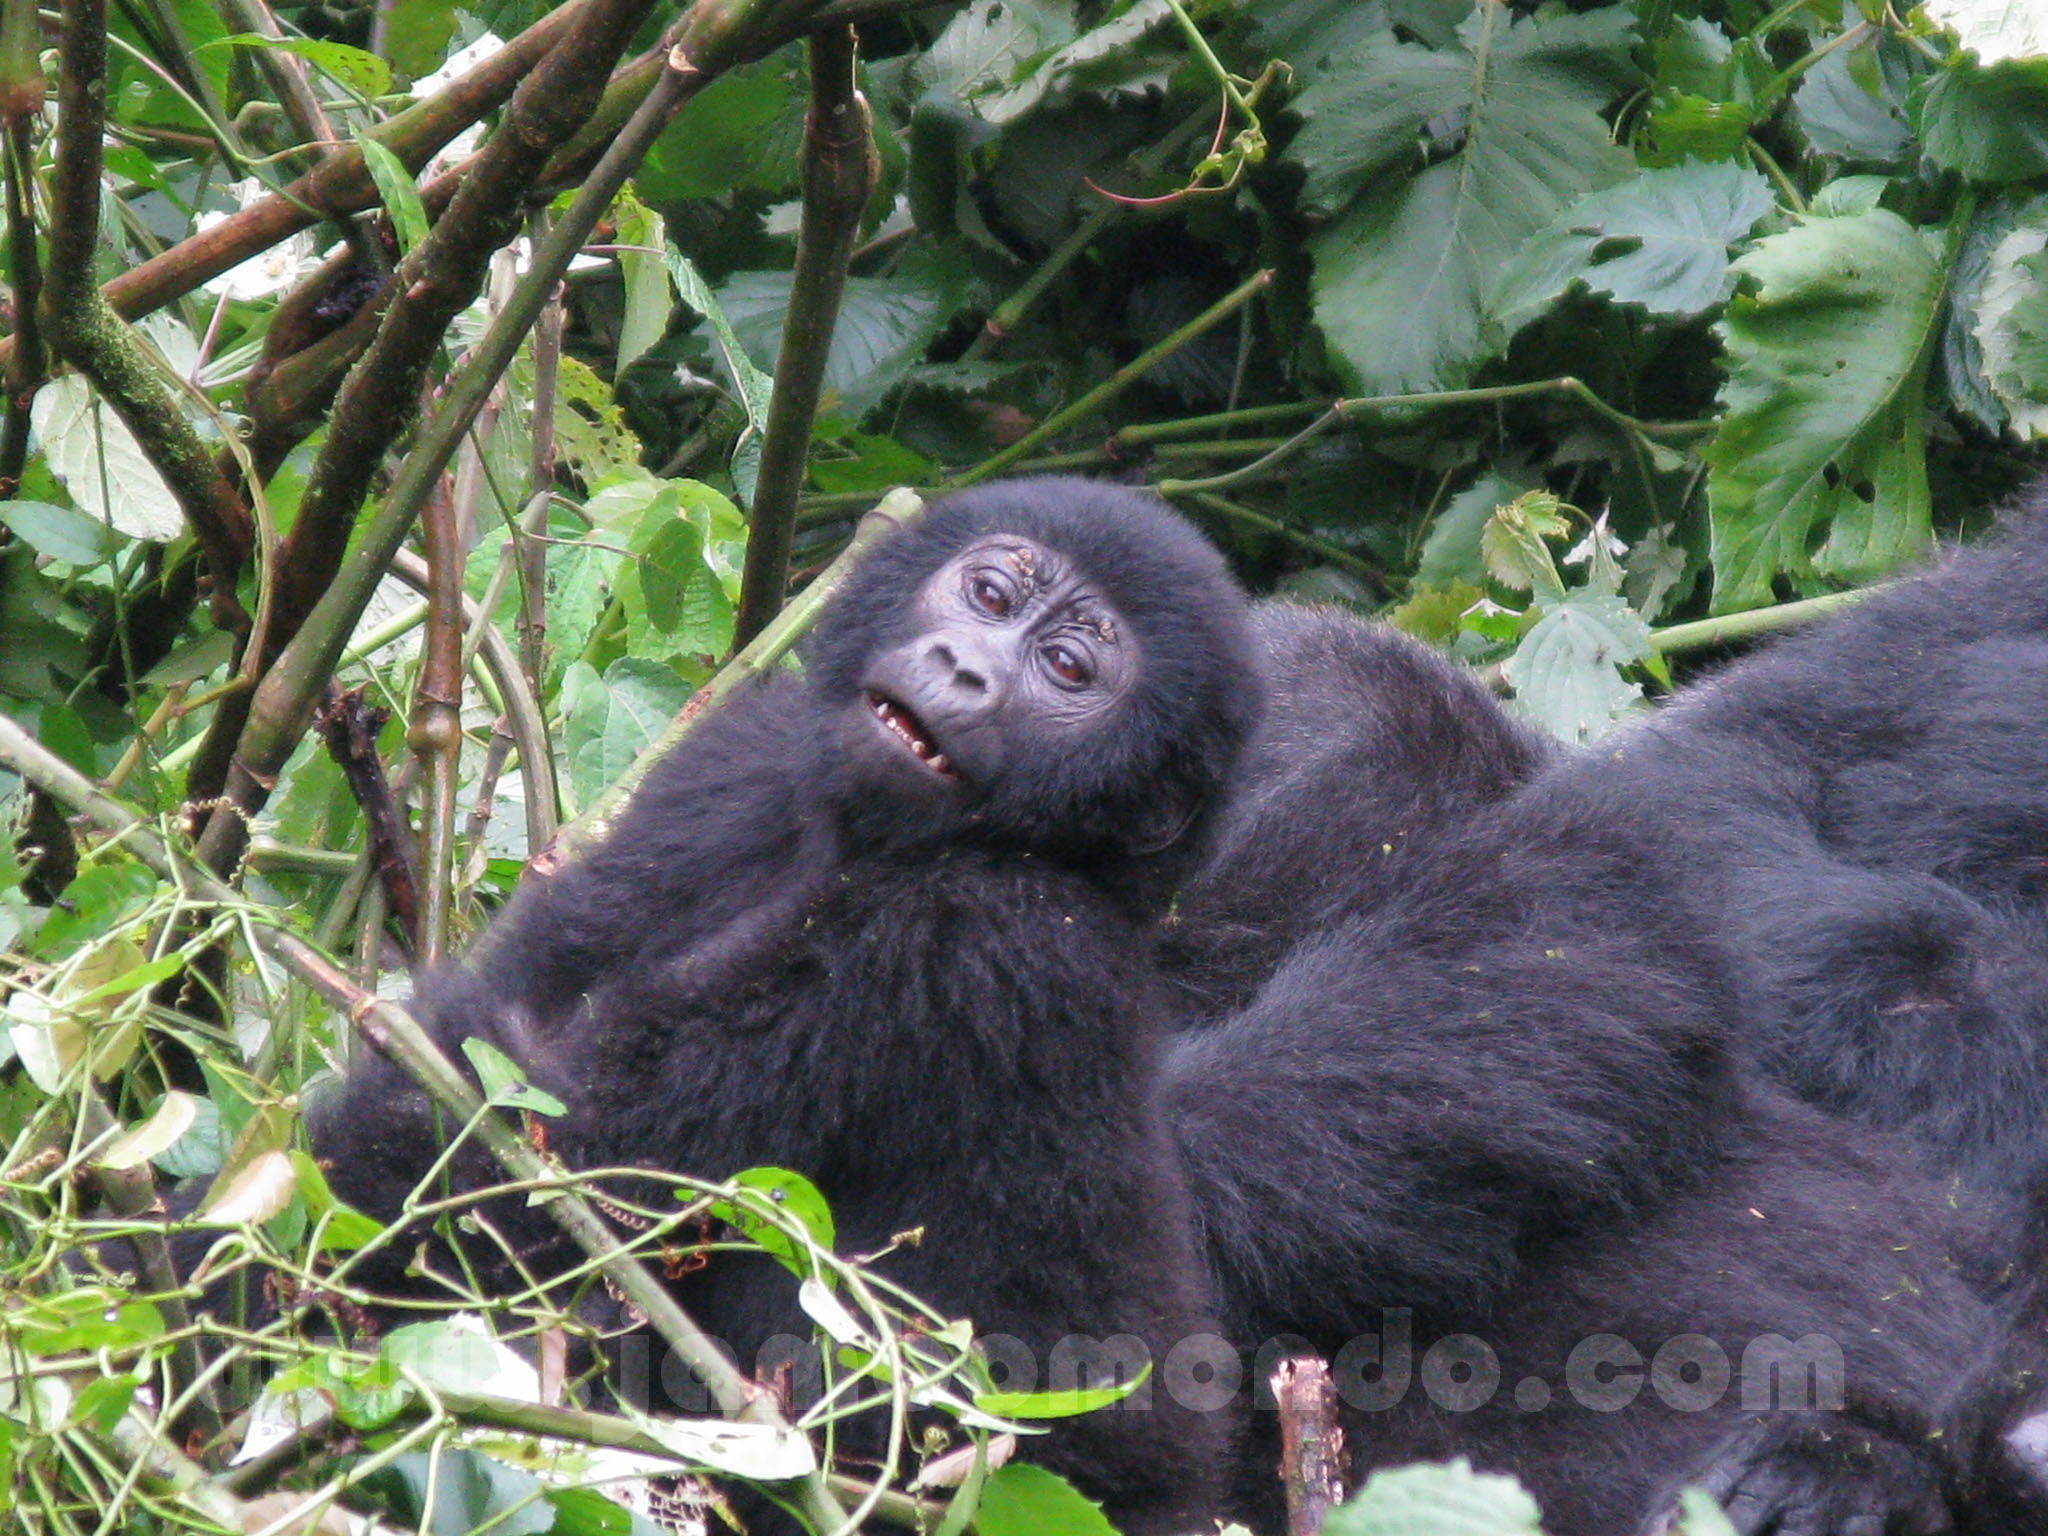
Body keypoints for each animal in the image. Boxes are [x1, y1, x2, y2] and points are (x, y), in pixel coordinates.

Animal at [311, 479, 1253, 1531]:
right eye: (991, 595)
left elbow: (539, 1154)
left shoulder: (980, 929)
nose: (963, 668)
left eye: (1068, 668)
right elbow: (487, 1039)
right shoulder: (737, 758)